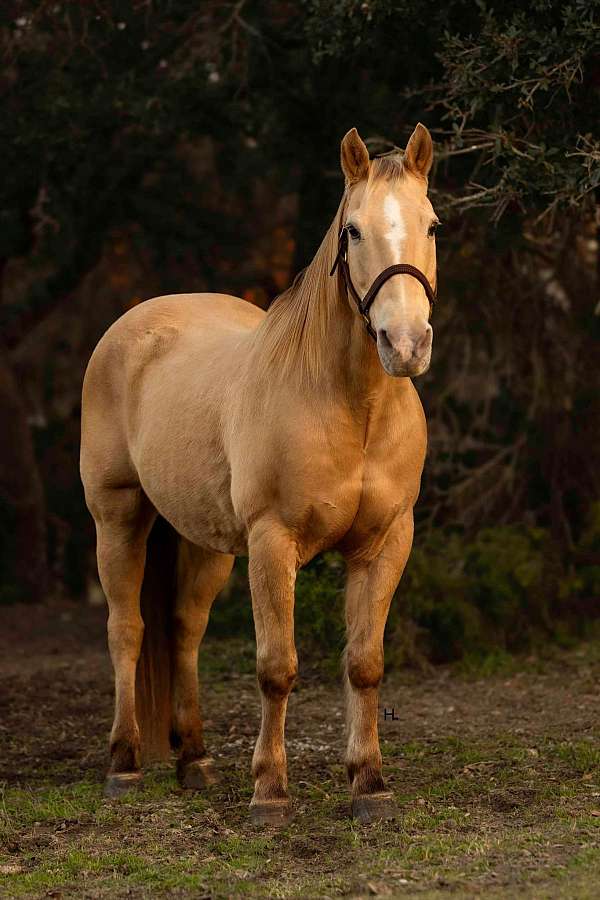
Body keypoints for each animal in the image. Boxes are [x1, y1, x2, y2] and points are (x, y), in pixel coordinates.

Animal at [79, 123, 438, 828]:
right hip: (119, 517)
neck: (349, 407)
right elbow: (277, 666)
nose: (405, 344)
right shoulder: (274, 542)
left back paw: (194, 760)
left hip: (205, 541)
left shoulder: (386, 543)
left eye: (432, 225)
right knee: (126, 629)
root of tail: (132, 326)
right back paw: (123, 765)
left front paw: (370, 784)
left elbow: (365, 663)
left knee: (183, 630)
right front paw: (270, 792)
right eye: (353, 230)